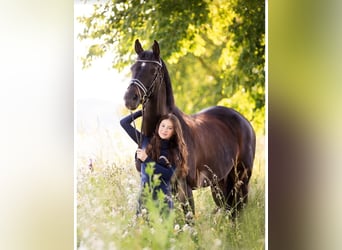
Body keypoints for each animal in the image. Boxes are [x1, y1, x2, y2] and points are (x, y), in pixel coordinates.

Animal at [124, 39, 255, 217]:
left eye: (153, 70)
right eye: (133, 68)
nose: (129, 98)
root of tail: (244, 121)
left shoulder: (184, 188)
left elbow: (189, 219)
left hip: (242, 179)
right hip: (220, 183)